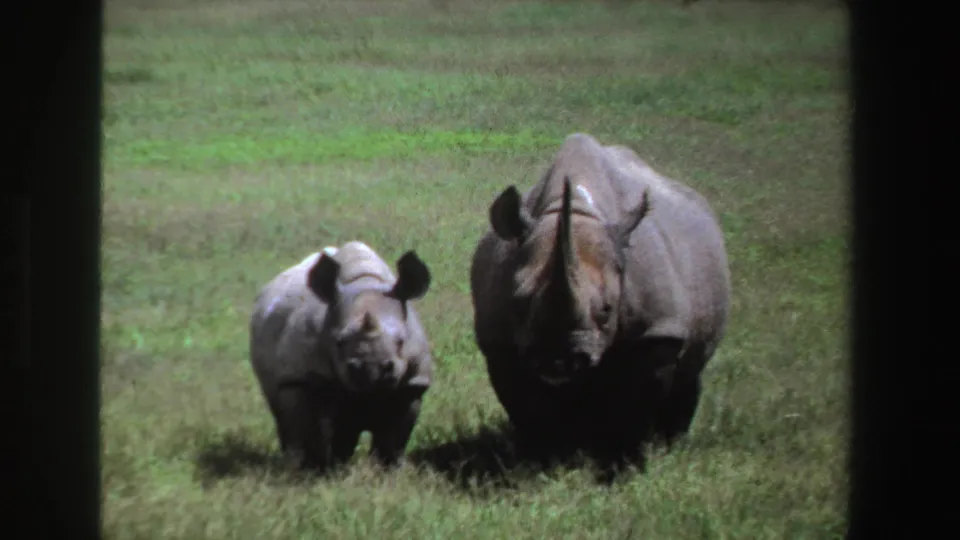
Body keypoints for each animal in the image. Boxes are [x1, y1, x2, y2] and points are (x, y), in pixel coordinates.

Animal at [249, 241, 434, 473]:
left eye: (401, 341)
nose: (371, 369)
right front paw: (312, 471)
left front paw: (388, 472)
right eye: (338, 342)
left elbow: (395, 438)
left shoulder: (412, 384)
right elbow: (307, 425)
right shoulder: (300, 377)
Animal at [469, 132, 731, 477]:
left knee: (689, 373)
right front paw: (544, 462)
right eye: (518, 303)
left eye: (607, 309)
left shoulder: (657, 331)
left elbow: (635, 406)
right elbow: (527, 406)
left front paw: (623, 466)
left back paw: (670, 445)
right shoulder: (500, 342)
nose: (559, 360)